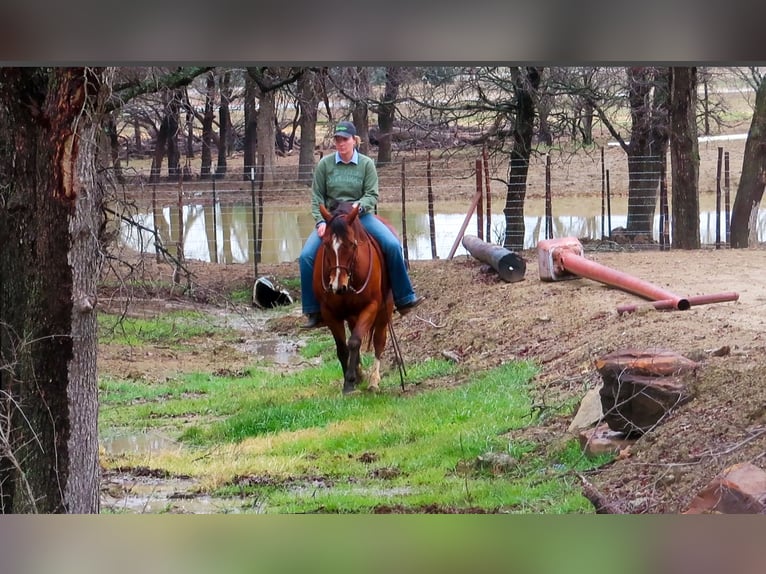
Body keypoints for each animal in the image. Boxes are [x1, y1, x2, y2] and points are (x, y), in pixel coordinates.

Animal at [312, 202, 396, 396]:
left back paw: (373, 381)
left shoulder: (371, 307)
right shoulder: (329, 313)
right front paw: (351, 379)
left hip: (384, 310)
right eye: (326, 244)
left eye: (352, 244)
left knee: (379, 341)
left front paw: (351, 380)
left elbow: (355, 342)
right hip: (352, 315)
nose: (337, 285)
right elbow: (342, 348)